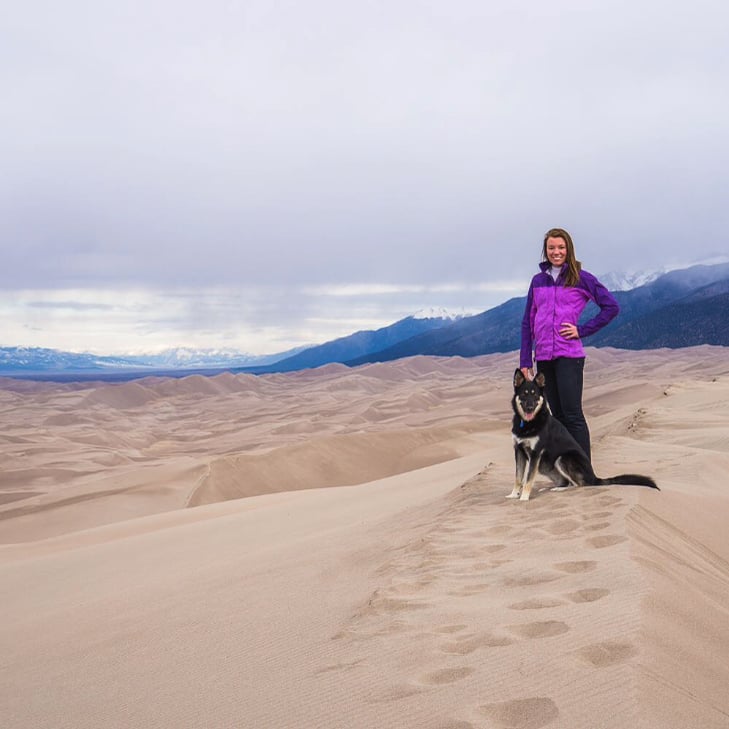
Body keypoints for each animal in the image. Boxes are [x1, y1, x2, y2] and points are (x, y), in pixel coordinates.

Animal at [510, 370, 656, 500]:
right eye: (524, 394)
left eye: (535, 395)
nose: (530, 408)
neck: (528, 423)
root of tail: (594, 477)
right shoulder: (519, 451)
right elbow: (518, 477)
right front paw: (514, 495)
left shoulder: (535, 453)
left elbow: (528, 478)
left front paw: (524, 498)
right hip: (544, 466)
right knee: (566, 481)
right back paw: (551, 488)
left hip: (563, 458)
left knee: (579, 484)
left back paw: (560, 489)